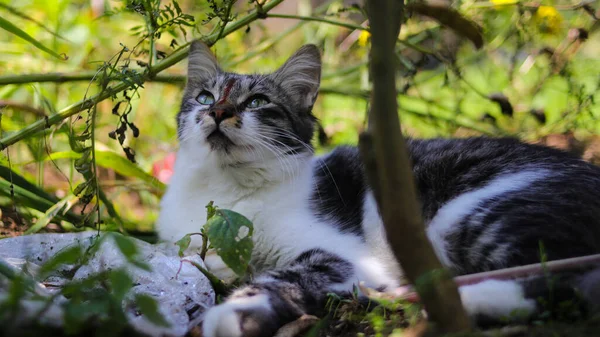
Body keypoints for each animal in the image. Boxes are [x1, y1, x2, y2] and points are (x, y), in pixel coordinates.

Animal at [158, 41, 600, 336]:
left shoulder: (346, 257)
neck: (228, 188)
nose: (219, 112)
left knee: (562, 281)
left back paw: (459, 302)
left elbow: (284, 277)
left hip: (476, 216)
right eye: (205, 97)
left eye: (256, 102)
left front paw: (234, 313)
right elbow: (196, 259)